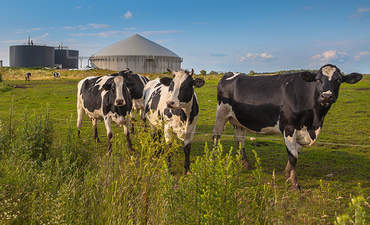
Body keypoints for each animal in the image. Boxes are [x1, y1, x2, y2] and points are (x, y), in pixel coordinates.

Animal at [212, 64, 362, 189]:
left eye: (338, 80)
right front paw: (294, 183)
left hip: (239, 120)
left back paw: (245, 164)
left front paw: (287, 173)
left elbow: (296, 152)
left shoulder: (301, 131)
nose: (326, 96)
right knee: (216, 136)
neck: (314, 122)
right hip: (221, 113)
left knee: (239, 140)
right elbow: (293, 155)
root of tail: (230, 73)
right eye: (318, 79)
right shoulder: (289, 127)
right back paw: (213, 159)